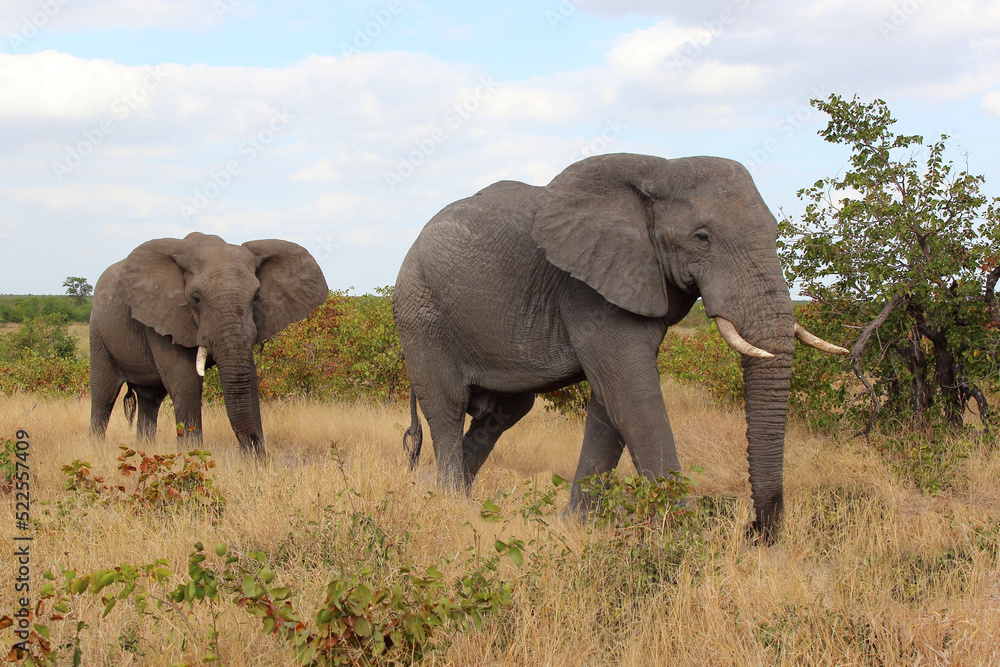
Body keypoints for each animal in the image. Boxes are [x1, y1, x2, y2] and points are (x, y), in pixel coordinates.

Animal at [89, 232, 328, 456]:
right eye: (195, 298)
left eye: (256, 296)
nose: (252, 445)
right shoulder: (164, 316)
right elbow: (186, 382)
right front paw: (192, 457)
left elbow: (249, 380)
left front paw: (255, 461)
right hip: (98, 331)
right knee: (103, 395)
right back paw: (96, 447)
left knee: (150, 399)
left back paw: (144, 449)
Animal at [394, 154, 848, 540]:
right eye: (702, 237)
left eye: (775, 232)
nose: (753, 532)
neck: (658, 170)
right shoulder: (588, 287)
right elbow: (631, 393)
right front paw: (687, 540)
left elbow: (610, 401)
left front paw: (573, 527)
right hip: (421, 312)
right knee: (448, 406)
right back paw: (451, 504)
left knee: (504, 412)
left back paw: (447, 494)